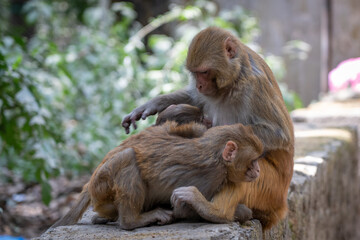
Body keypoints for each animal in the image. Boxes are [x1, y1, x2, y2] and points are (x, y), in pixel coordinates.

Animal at [50, 122, 262, 231]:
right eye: (253, 161)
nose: (259, 170)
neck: (217, 157)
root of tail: (89, 184)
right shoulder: (215, 175)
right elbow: (189, 212)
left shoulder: (231, 178)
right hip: (102, 187)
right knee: (128, 157)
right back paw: (131, 221)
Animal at [122, 26, 294, 229]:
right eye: (195, 73)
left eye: (204, 72)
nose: (199, 85)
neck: (235, 78)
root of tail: (281, 207)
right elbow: (194, 98)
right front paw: (154, 104)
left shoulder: (255, 86)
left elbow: (278, 134)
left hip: (269, 189)